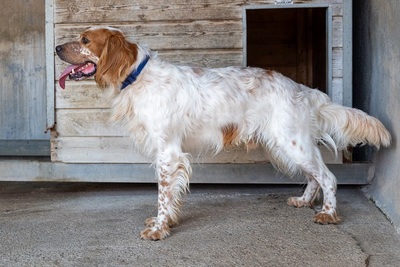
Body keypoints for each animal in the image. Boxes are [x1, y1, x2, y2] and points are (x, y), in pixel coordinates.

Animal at [54, 27, 390, 241]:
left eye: (84, 39)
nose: (56, 48)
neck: (137, 77)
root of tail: (302, 89)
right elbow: (171, 196)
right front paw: (166, 222)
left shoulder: (169, 152)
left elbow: (163, 195)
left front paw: (159, 229)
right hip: (285, 145)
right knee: (313, 177)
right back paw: (304, 201)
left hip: (291, 143)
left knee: (328, 177)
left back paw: (328, 214)